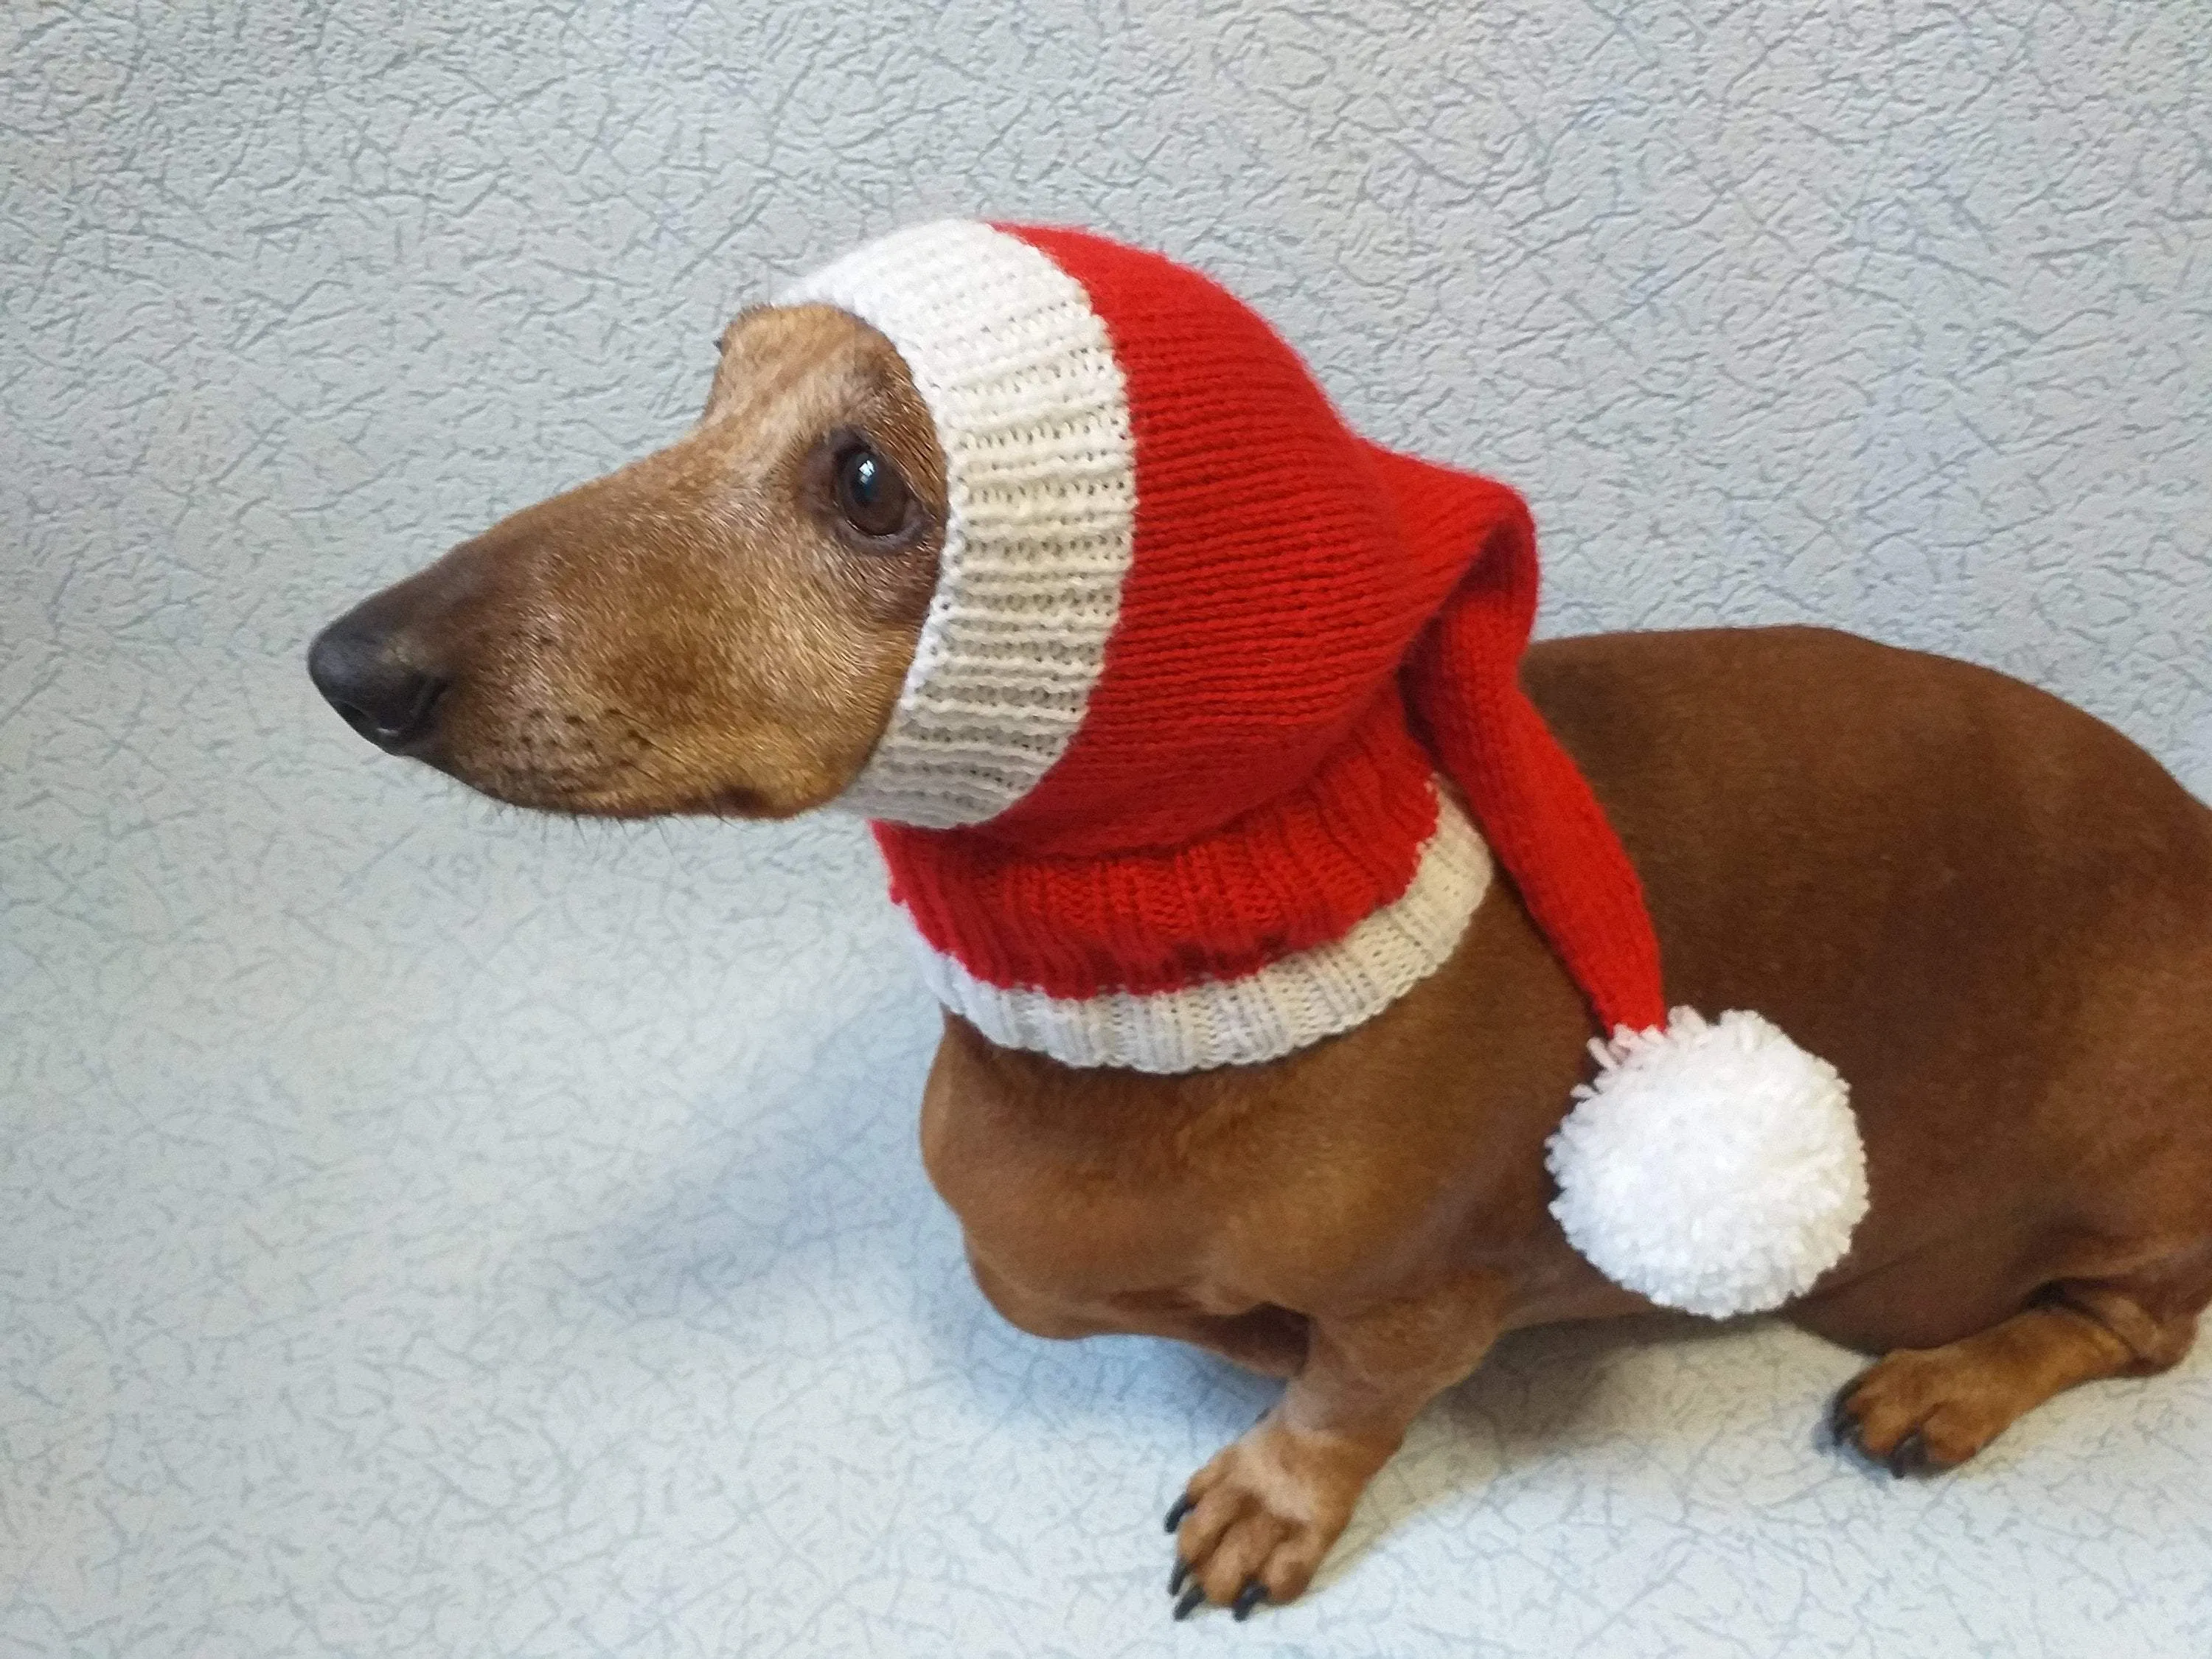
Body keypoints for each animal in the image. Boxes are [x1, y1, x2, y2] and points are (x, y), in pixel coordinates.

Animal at [312, 303, 2212, 1628]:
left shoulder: (1422, 1302)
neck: (1183, 1007)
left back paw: (1947, 1384)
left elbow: (1341, 1393)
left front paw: (1271, 1492)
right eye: (710, 385)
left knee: (2134, 1329)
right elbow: (1095, 1296)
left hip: (2131, 1190)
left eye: (864, 481)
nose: (348, 663)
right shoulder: (1026, 1247)